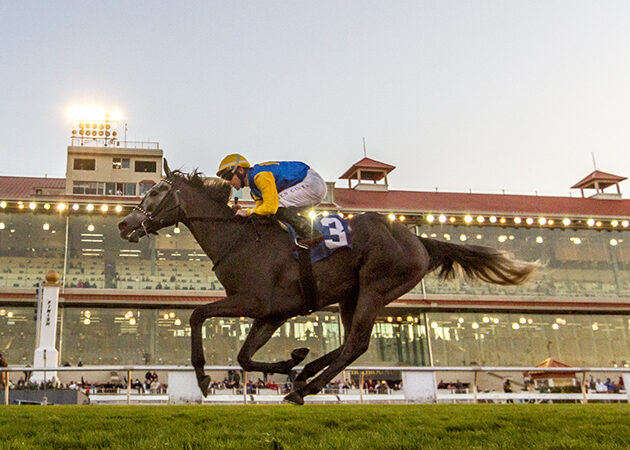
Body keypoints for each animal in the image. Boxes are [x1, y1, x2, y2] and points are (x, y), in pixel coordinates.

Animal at [119, 161, 540, 404]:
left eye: (154, 192)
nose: (124, 224)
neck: (238, 239)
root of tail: (418, 240)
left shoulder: (253, 301)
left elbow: (196, 315)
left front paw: (204, 377)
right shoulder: (272, 314)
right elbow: (243, 356)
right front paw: (291, 359)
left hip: (375, 288)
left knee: (356, 343)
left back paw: (305, 388)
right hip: (351, 295)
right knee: (350, 344)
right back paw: (305, 373)